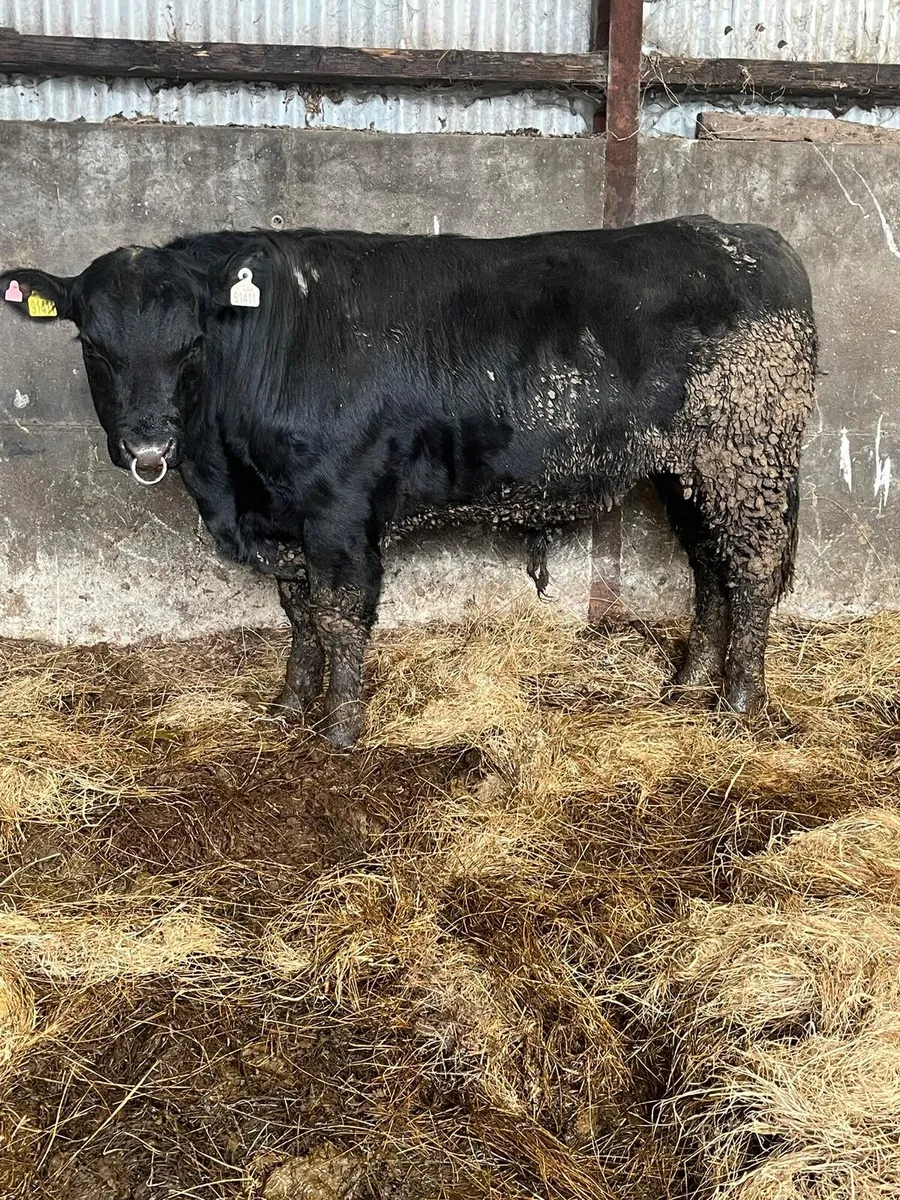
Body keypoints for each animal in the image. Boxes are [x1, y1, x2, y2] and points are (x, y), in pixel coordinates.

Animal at [1, 216, 816, 748]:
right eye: (93, 345)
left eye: (192, 343)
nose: (147, 442)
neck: (231, 485)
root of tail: (753, 240)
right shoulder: (284, 519)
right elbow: (297, 613)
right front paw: (288, 704)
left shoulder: (337, 510)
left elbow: (338, 615)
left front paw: (340, 729)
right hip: (690, 471)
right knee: (708, 566)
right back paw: (687, 683)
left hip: (745, 456)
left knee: (749, 568)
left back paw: (739, 701)